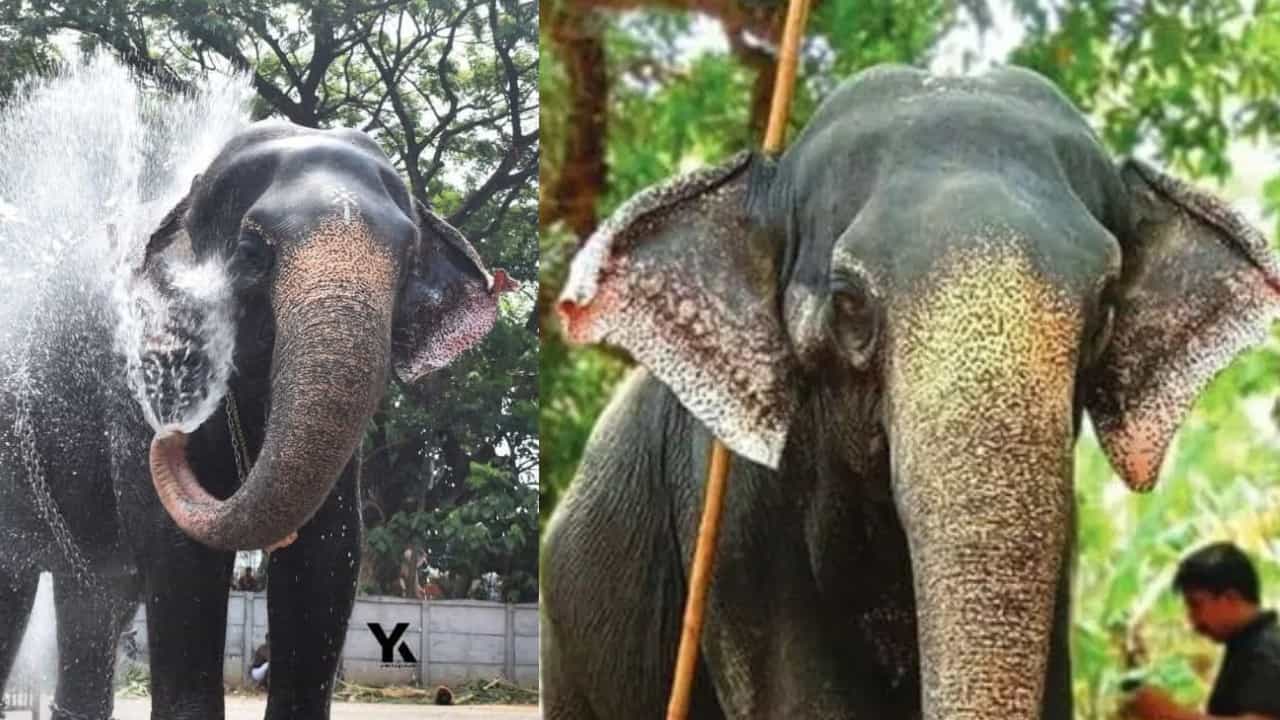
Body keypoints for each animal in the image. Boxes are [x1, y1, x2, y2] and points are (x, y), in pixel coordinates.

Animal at [0, 119, 514, 719]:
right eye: (250, 251)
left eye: (409, 261)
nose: (169, 436)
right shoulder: (134, 372)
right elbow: (178, 550)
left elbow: (330, 550)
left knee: (96, 591)